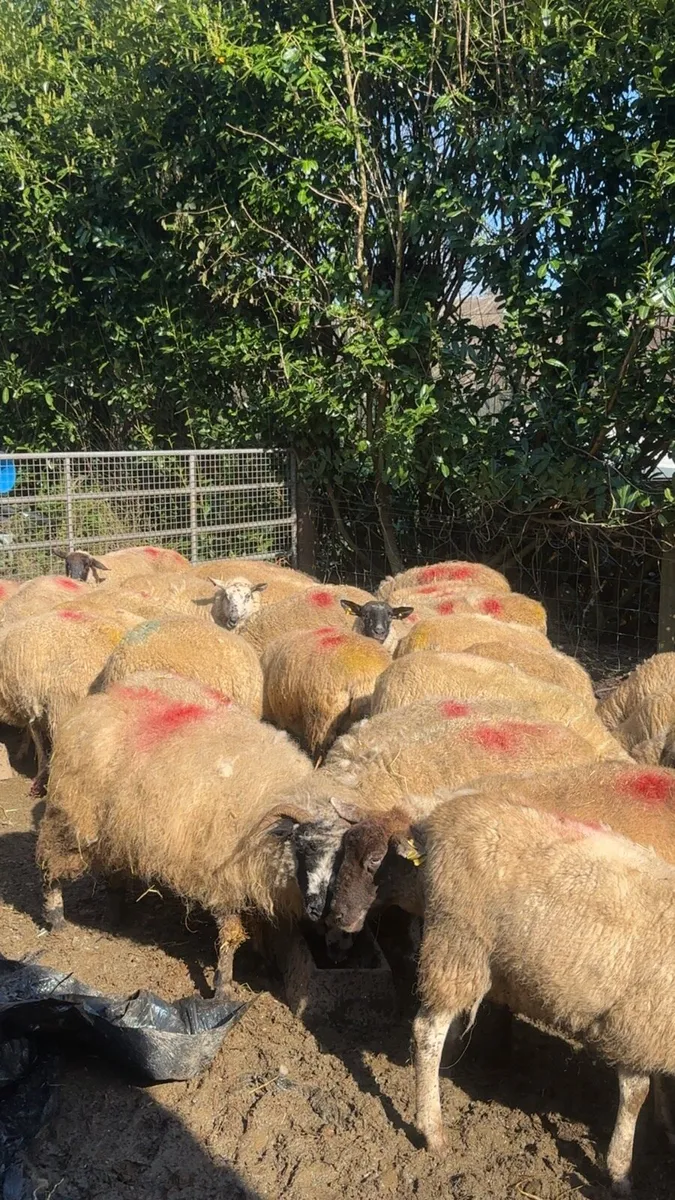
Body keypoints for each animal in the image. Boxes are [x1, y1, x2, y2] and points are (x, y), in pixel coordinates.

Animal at [36, 681, 336, 993]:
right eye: (308, 848)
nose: (322, 909)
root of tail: (94, 705)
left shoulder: (254, 877)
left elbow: (260, 927)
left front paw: (261, 965)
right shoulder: (224, 880)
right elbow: (230, 934)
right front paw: (222, 986)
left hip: (117, 828)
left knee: (114, 871)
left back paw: (117, 916)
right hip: (71, 818)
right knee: (49, 865)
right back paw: (55, 918)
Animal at [412, 788, 675, 1192]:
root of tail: (445, 814)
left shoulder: (654, 1027)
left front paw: (665, 1126)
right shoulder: (636, 1020)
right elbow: (636, 1095)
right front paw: (620, 1171)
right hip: (458, 938)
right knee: (427, 1031)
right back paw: (433, 1130)